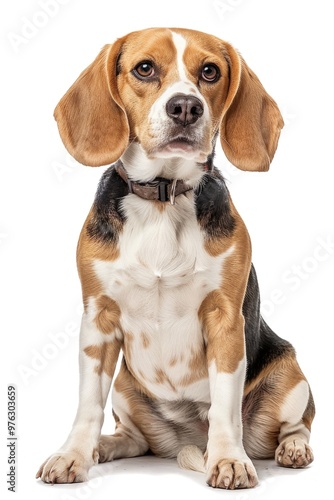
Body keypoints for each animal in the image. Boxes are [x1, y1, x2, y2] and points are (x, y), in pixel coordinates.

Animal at [37, 26, 316, 488]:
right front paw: (74, 455)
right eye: (145, 68)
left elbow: (225, 406)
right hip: (126, 389)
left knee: (296, 424)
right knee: (136, 439)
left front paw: (229, 460)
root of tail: (186, 439)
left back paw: (291, 448)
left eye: (210, 71)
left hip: (291, 376)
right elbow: (87, 405)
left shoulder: (225, 320)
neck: (163, 198)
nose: (185, 106)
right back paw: (105, 447)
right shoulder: (98, 320)